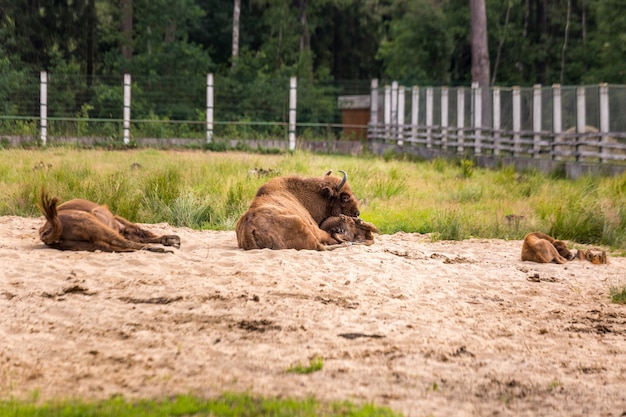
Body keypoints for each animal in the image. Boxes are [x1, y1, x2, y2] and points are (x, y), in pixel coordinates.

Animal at [37, 190, 180, 252]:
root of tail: (47, 230)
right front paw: (171, 240)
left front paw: (170, 240)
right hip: (93, 225)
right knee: (119, 241)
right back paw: (156, 248)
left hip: (89, 244)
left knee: (115, 246)